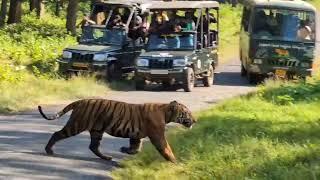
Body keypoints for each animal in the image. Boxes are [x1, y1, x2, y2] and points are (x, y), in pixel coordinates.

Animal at [38, 98, 196, 163]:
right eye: (187, 113)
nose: (195, 121)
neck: (166, 112)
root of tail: (81, 101)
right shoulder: (158, 136)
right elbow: (167, 149)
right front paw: (176, 163)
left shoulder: (136, 135)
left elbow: (136, 148)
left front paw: (125, 150)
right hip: (77, 125)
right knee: (57, 134)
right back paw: (48, 150)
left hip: (97, 130)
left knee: (93, 146)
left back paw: (107, 157)